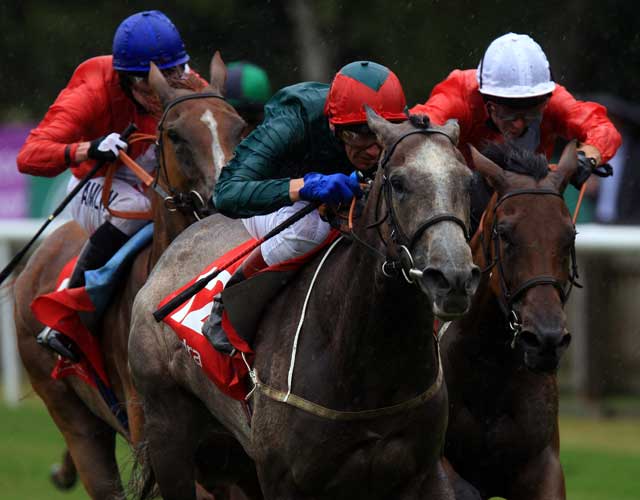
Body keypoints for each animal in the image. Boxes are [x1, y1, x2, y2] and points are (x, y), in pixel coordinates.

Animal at [10, 54, 245, 500]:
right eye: (175, 135)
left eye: (239, 127)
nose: (223, 201)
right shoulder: (157, 430)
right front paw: (106, 146)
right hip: (73, 417)